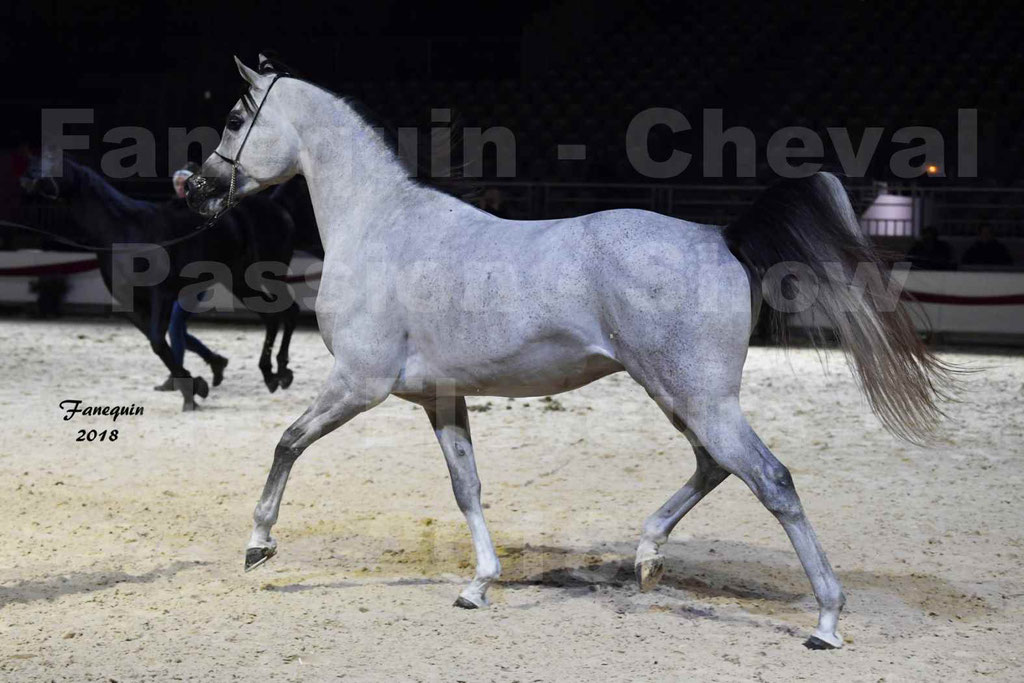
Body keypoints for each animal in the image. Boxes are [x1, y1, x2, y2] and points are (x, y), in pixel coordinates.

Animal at [20, 157, 319, 409]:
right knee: (275, 316)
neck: (124, 233)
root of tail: (276, 206)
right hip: (238, 281)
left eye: (49, 164)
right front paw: (193, 386)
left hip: (264, 275)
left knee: (284, 313)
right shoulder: (130, 304)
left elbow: (157, 341)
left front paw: (192, 389)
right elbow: (159, 344)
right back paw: (274, 374)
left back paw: (278, 371)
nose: (26, 181)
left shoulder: (161, 296)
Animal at [188, 56, 954, 651]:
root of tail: (720, 238)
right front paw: (478, 586)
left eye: (233, 117)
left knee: (771, 479)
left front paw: (259, 543)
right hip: (678, 396)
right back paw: (646, 557)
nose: (193, 188)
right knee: (714, 467)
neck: (382, 228)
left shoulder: (358, 383)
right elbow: (466, 486)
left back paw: (826, 619)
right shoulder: (440, 398)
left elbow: (287, 442)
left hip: (699, 397)